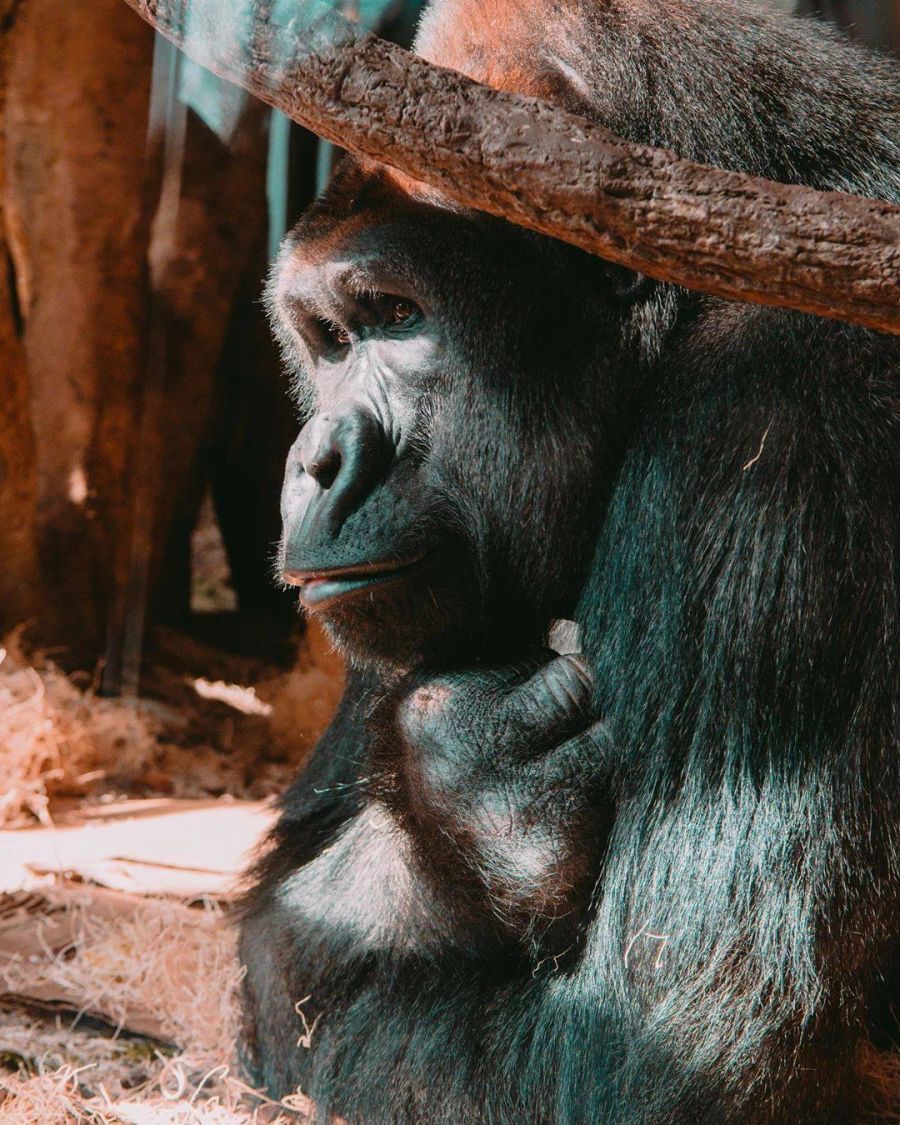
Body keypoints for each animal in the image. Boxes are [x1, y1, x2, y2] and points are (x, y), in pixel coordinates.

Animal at [237, 4, 900, 1120]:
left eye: (398, 316)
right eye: (327, 338)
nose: (312, 461)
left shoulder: (786, 418)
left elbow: (678, 1054)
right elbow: (276, 928)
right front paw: (474, 800)